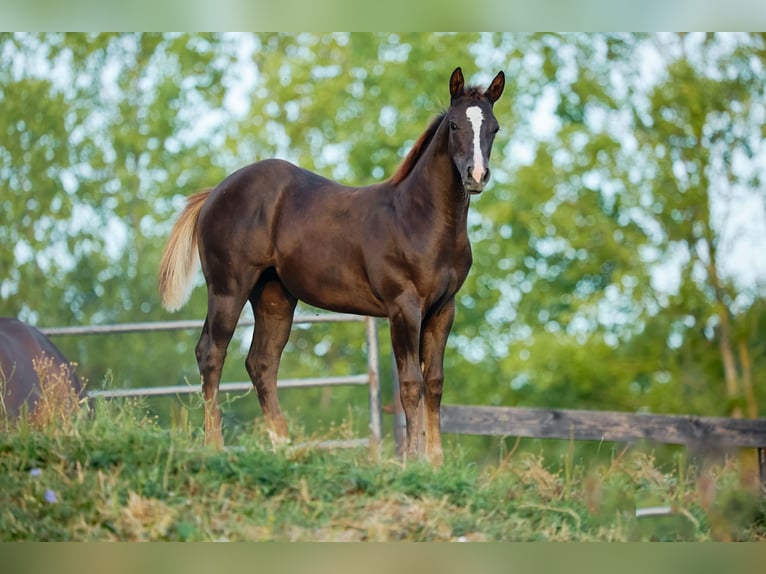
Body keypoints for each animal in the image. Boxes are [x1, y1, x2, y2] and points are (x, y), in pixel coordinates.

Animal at [159, 66, 505, 464]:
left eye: (494, 128)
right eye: (453, 125)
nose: (476, 176)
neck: (419, 218)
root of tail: (215, 192)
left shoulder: (443, 309)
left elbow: (434, 382)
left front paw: (435, 464)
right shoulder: (404, 307)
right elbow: (410, 384)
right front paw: (409, 462)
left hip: (274, 296)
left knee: (261, 363)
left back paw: (285, 447)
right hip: (227, 289)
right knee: (211, 354)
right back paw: (215, 447)